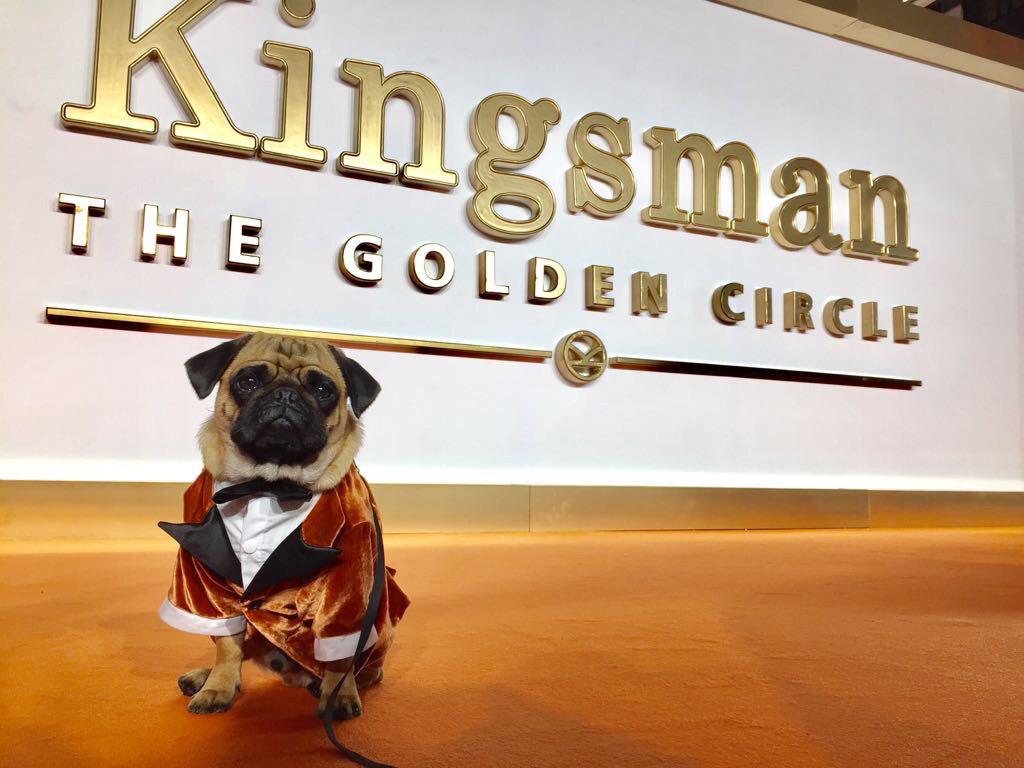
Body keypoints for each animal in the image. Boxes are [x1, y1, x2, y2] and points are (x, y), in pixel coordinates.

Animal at [158, 332, 409, 722]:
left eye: (322, 389)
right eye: (248, 381)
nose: (286, 395)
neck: (269, 483)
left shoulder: (348, 589)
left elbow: (339, 655)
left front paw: (338, 694)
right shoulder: (207, 577)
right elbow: (227, 646)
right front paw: (218, 686)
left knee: (364, 669)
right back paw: (205, 676)